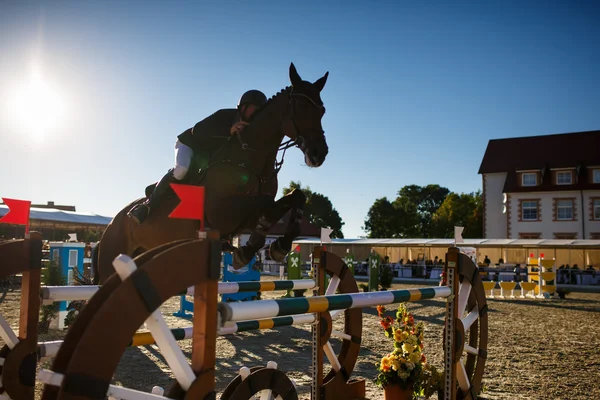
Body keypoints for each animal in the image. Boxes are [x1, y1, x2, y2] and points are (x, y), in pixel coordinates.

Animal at [91, 62, 330, 284]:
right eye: (299, 107)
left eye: (322, 111)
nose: (319, 153)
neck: (250, 158)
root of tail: (112, 223)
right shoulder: (223, 213)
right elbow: (266, 208)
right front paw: (248, 251)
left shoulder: (245, 219)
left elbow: (295, 197)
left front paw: (279, 246)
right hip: (112, 261)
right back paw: (141, 211)